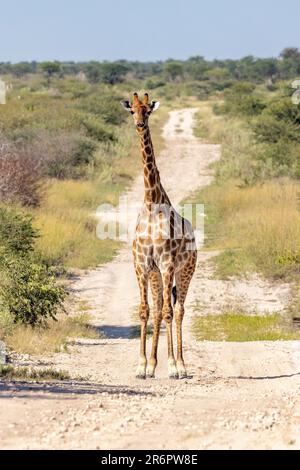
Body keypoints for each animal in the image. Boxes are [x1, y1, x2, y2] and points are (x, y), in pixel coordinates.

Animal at [120, 93, 198, 380]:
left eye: (148, 111)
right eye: (132, 110)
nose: (140, 125)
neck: (152, 203)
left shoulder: (166, 264)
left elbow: (168, 312)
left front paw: (173, 366)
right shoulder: (143, 265)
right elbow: (145, 311)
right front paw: (143, 366)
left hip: (185, 271)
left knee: (178, 310)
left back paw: (182, 366)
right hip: (157, 275)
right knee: (159, 307)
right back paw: (154, 365)